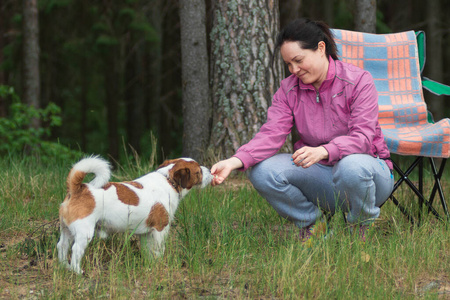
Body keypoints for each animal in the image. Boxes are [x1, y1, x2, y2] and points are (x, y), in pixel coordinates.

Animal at [58, 157, 213, 274]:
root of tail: (78, 189)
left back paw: (64, 267)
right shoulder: (160, 230)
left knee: (62, 246)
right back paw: (77, 271)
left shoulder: (146, 234)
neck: (168, 180)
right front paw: (159, 265)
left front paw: (150, 265)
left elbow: (148, 251)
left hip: (66, 230)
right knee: (75, 250)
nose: (209, 170)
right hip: (84, 232)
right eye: (198, 171)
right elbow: (159, 250)